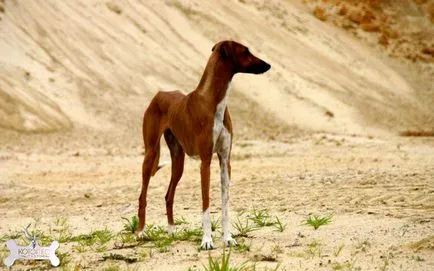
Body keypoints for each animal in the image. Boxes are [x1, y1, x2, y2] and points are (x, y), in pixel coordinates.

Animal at [137, 40, 270, 251]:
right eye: (245, 51)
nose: (268, 65)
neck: (214, 101)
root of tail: (159, 94)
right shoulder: (205, 162)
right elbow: (206, 203)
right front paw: (207, 240)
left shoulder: (225, 161)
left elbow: (225, 204)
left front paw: (228, 238)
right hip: (150, 154)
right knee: (142, 195)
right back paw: (141, 232)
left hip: (178, 162)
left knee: (168, 195)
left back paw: (171, 231)